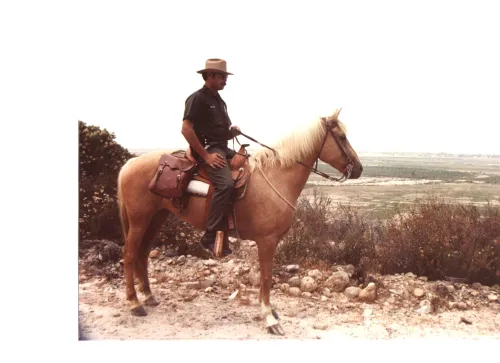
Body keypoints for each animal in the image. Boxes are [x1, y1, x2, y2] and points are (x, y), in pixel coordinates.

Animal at [117, 108, 364, 336]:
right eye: (342, 137)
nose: (359, 169)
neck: (276, 177)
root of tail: (130, 163)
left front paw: (270, 312)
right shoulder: (267, 241)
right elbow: (266, 277)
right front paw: (269, 318)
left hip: (157, 217)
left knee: (142, 254)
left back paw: (149, 296)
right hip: (139, 220)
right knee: (129, 255)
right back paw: (134, 303)